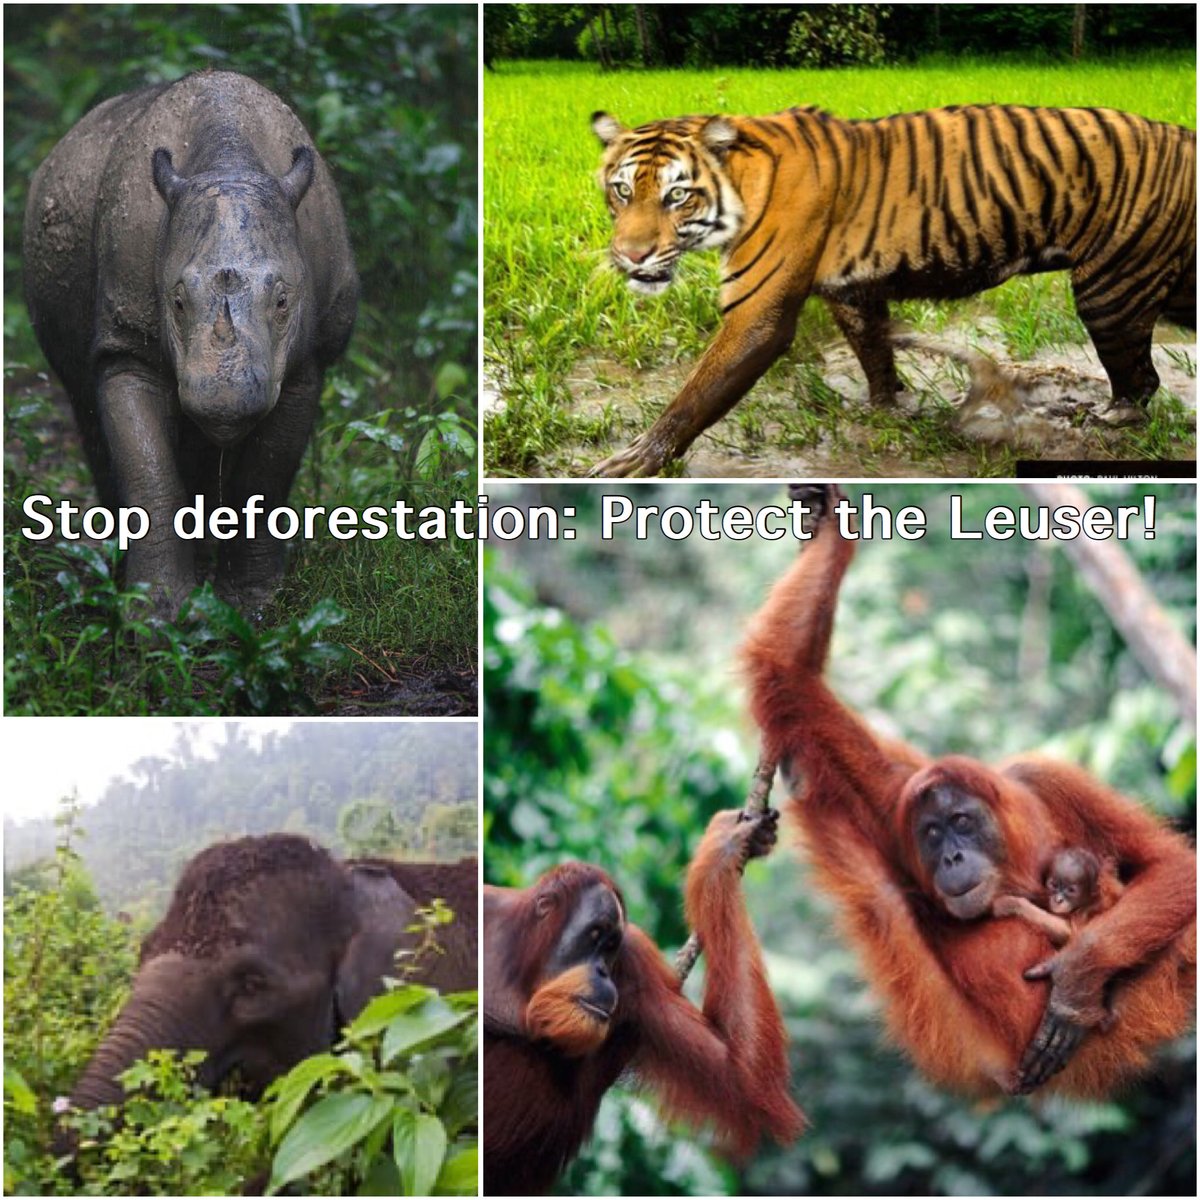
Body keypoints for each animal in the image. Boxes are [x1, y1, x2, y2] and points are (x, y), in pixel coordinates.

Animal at [23, 71, 358, 612]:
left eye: (283, 300)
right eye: (176, 302)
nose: (223, 398)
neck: (228, 163)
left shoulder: (307, 360)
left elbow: (267, 473)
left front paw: (254, 603)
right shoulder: (127, 341)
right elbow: (148, 467)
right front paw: (155, 611)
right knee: (84, 403)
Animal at [588, 105, 1196, 476]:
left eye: (677, 196)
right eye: (622, 191)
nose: (630, 255)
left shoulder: (757, 312)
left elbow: (696, 392)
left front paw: (635, 460)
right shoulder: (851, 292)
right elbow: (873, 347)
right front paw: (889, 407)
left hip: (1109, 288)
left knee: (1140, 378)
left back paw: (1109, 418)